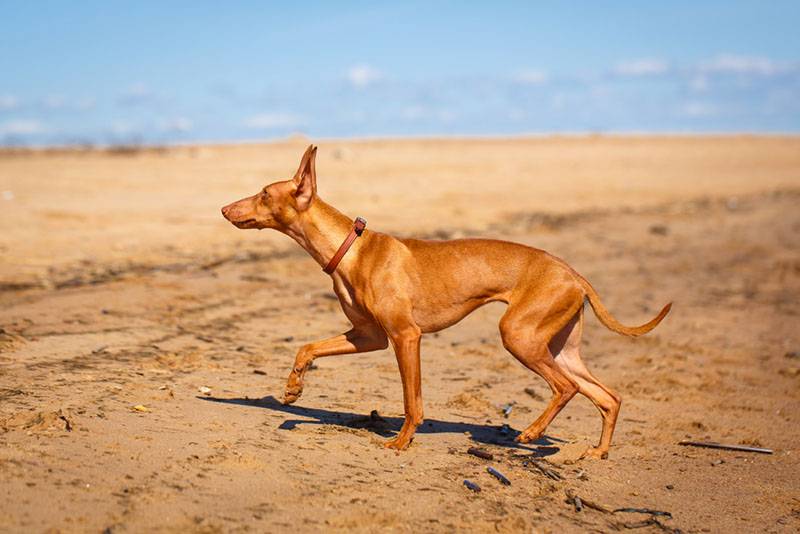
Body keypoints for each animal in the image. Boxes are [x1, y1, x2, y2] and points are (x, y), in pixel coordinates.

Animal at [220, 146, 668, 460]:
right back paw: (598, 451)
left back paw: (532, 433)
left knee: (567, 388)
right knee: (608, 396)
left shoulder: (406, 336)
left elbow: (411, 401)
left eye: (263, 193)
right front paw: (293, 388)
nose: (223, 207)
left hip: (518, 335)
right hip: (559, 346)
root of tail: (574, 273)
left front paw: (401, 442)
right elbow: (307, 347)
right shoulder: (369, 337)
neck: (351, 249)